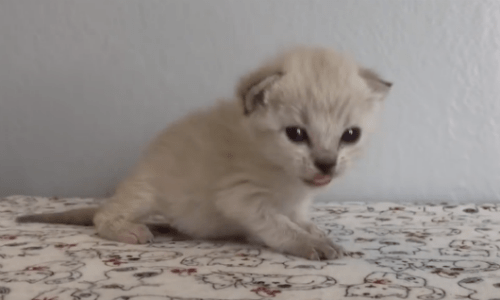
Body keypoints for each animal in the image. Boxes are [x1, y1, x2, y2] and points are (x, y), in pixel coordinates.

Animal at [15, 46, 392, 260]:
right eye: (296, 134)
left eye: (350, 135)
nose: (326, 165)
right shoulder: (242, 197)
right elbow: (282, 227)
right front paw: (310, 243)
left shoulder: (295, 203)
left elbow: (299, 220)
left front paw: (317, 233)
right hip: (147, 192)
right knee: (104, 215)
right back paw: (130, 230)